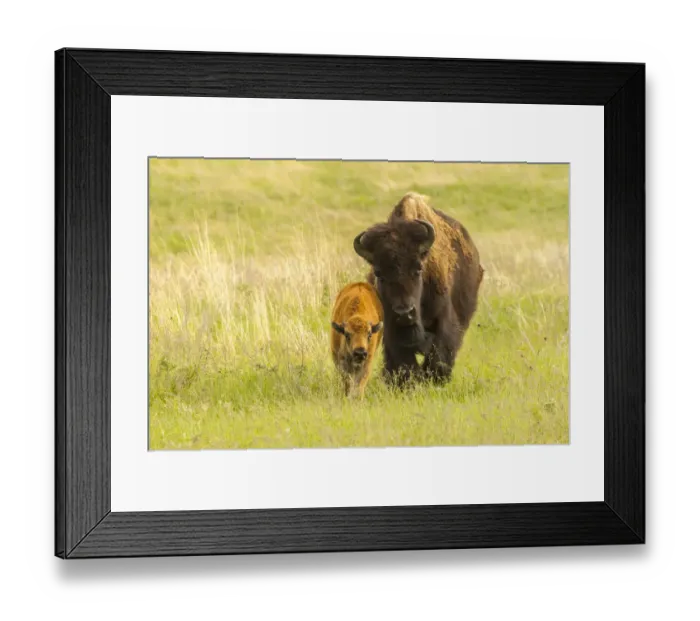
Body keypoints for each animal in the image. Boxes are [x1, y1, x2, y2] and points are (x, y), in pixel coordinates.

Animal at [353, 192, 484, 386]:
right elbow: (403, 360)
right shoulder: (391, 327)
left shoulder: (444, 321)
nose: (404, 313)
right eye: (378, 273)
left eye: (418, 268)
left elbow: (439, 353)